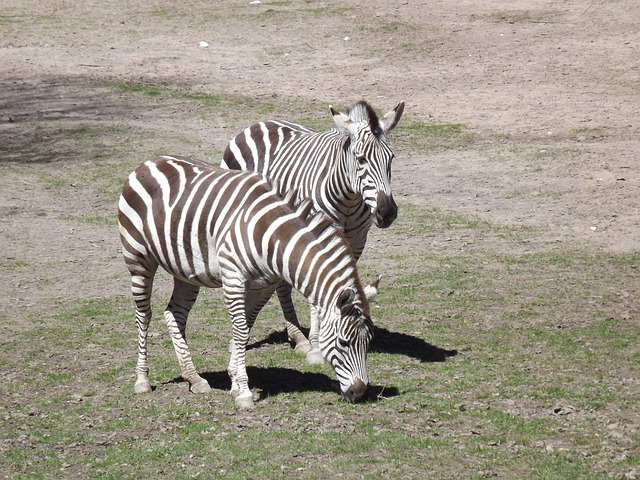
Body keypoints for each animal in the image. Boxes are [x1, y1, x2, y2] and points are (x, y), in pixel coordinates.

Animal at [118, 155, 375, 409]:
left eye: (369, 342)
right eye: (343, 343)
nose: (359, 392)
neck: (271, 236)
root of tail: (148, 162)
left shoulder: (265, 285)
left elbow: (247, 327)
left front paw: (234, 381)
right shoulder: (233, 279)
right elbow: (240, 331)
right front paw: (244, 392)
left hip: (185, 271)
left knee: (175, 315)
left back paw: (194, 378)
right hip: (138, 259)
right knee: (143, 315)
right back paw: (142, 379)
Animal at [221, 100, 404, 363]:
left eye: (391, 158)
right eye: (360, 159)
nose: (387, 211)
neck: (348, 199)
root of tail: (257, 124)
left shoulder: (357, 241)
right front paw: (318, 346)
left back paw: (296, 336)